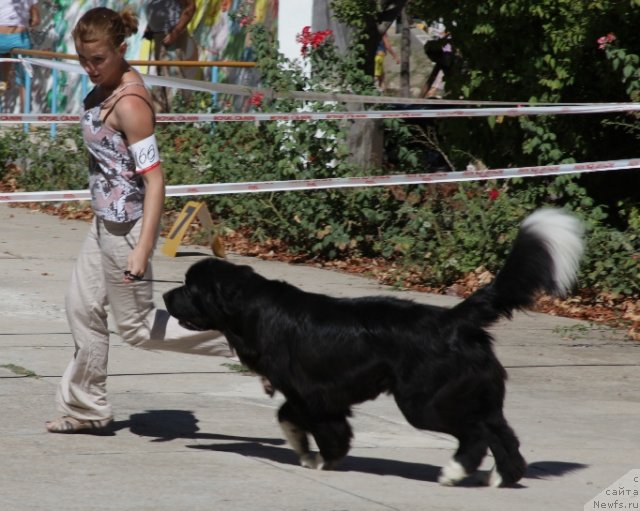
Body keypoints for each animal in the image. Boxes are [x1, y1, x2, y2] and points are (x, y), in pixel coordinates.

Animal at [162, 209, 584, 488]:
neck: (253, 309)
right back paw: (502, 477)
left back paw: (454, 472)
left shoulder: (316, 394)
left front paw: (325, 459)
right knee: (501, 432)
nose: (165, 296)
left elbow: (324, 429)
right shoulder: (308, 393)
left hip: (424, 400)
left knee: (477, 432)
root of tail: (453, 319)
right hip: (476, 393)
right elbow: (288, 415)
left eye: (190, 288)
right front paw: (306, 451)